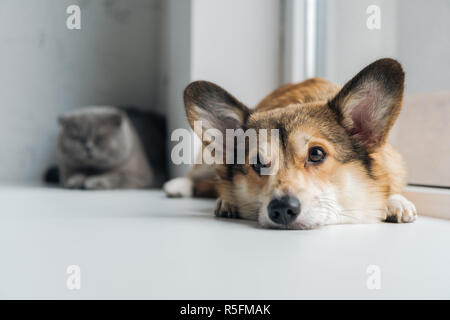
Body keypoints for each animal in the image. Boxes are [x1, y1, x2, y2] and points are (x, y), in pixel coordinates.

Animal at [163, 58, 416, 229]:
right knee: (196, 176)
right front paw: (227, 201)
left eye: (316, 154)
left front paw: (396, 202)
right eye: (258, 163)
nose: (282, 209)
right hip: (209, 160)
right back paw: (180, 187)